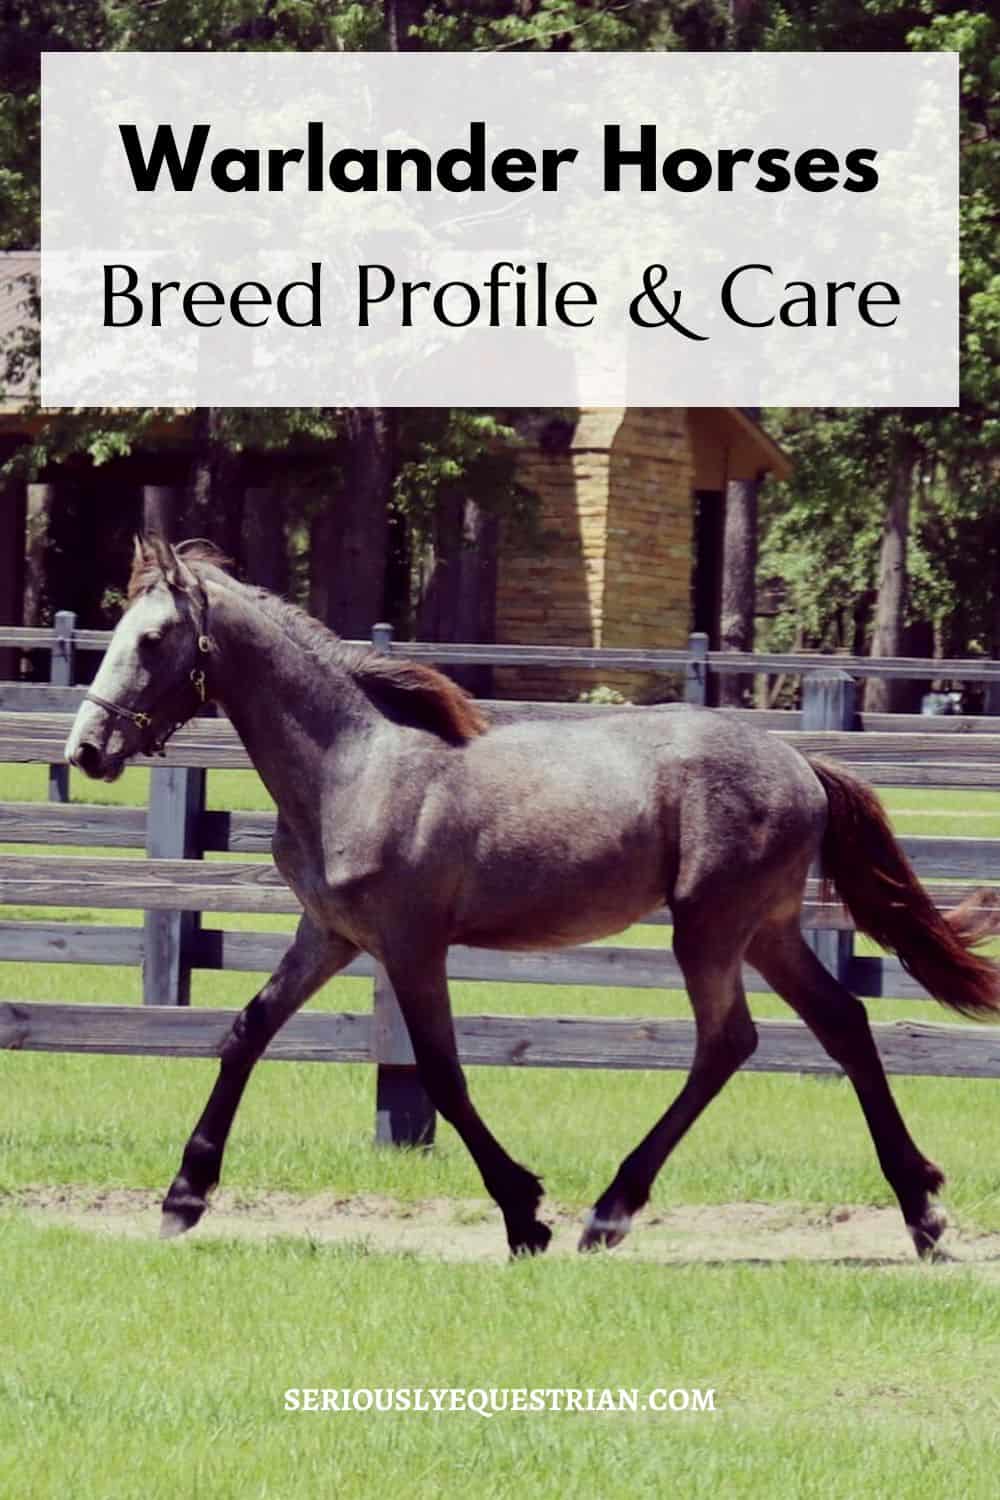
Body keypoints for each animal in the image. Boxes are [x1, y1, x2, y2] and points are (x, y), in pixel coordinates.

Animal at [64, 536, 1000, 1259]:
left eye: (153, 639)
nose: (88, 750)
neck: (351, 769)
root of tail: (802, 763)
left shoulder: (410, 944)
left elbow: (441, 1074)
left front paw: (526, 1215)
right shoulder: (328, 935)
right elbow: (246, 1032)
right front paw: (183, 1198)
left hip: (710, 928)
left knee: (728, 1041)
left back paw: (609, 1214)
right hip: (766, 931)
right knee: (841, 1022)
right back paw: (922, 1214)